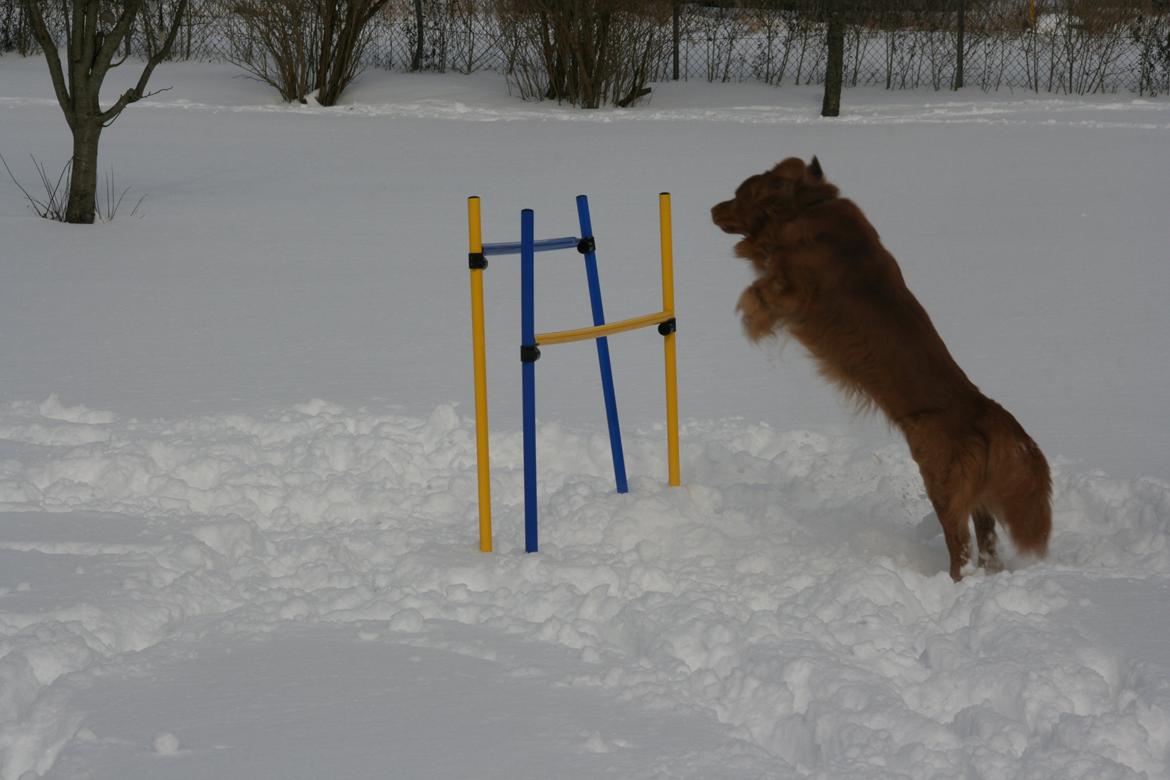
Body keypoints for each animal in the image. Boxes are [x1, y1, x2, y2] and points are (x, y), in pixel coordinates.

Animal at [711, 156, 1053, 580]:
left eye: (739, 193)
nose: (711, 209)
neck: (810, 205)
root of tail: (986, 411)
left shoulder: (796, 287)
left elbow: (761, 290)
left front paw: (748, 317)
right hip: (977, 498)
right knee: (987, 542)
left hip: (940, 481)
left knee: (960, 547)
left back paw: (953, 581)